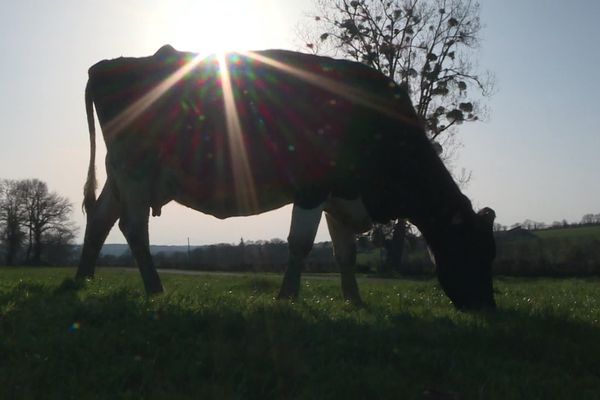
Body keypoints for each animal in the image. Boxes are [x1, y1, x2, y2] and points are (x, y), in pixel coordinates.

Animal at [76, 46, 496, 310]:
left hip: (121, 174)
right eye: (475, 249)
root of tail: (105, 66)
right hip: (135, 170)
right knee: (133, 227)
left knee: (99, 220)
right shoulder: (312, 186)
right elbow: (301, 244)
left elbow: (346, 253)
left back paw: (83, 280)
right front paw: (288, 298)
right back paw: (154, 289)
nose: (487, 307)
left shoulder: (340, 195)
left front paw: (354, 300)